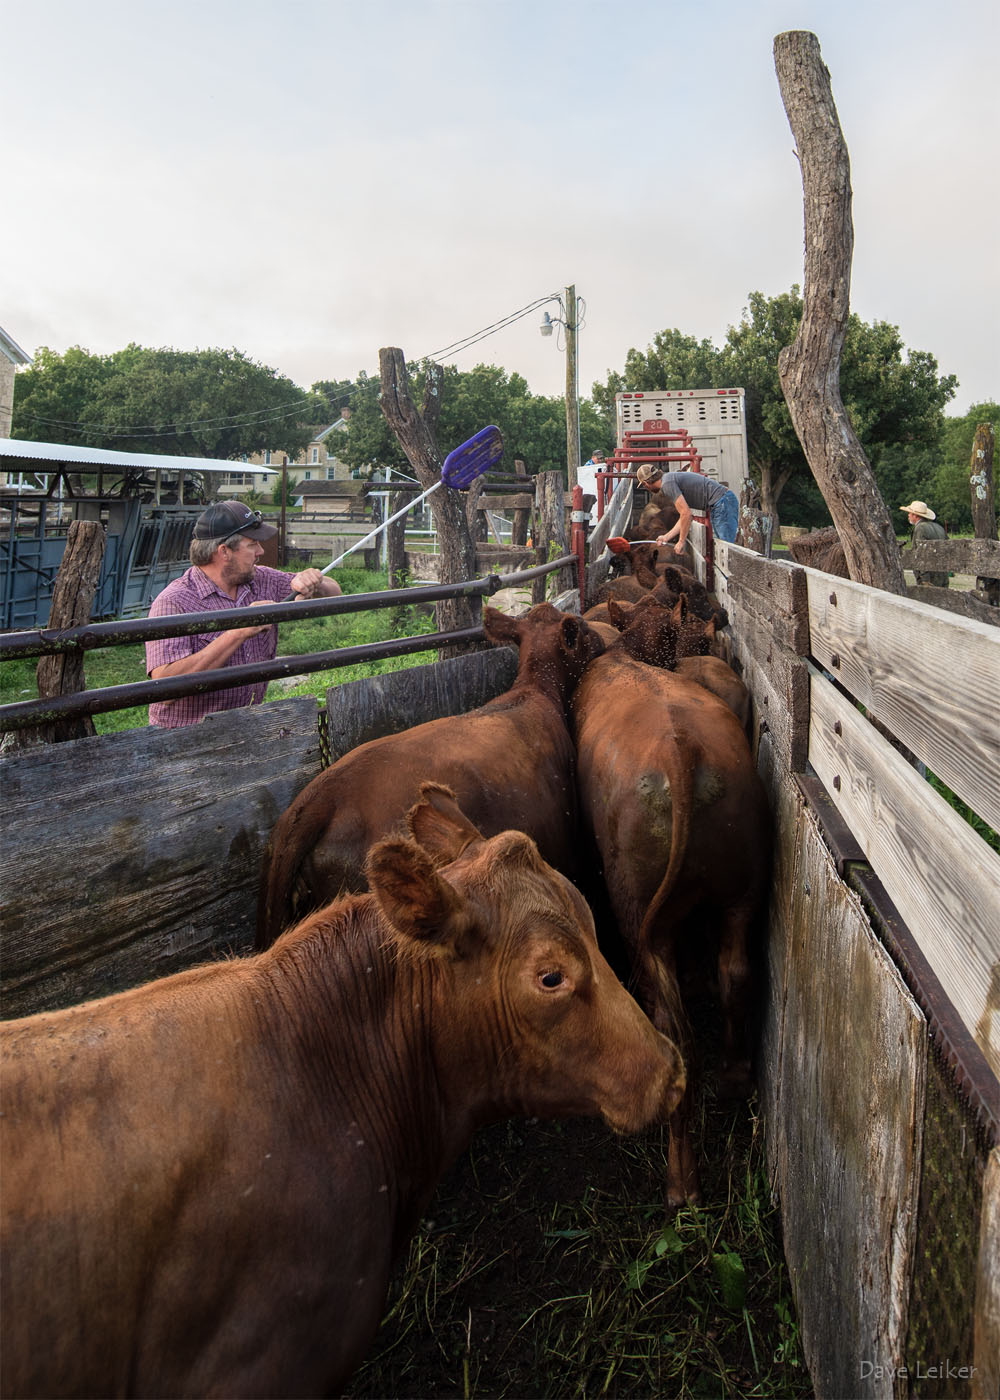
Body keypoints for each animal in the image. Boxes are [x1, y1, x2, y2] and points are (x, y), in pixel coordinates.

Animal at [568, 602, 773, 1204]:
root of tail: (682, 754)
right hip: (743, 885)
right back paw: (734, 1076)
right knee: (736, 972)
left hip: (638, 910)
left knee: (674, 1032)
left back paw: (682, 1184)